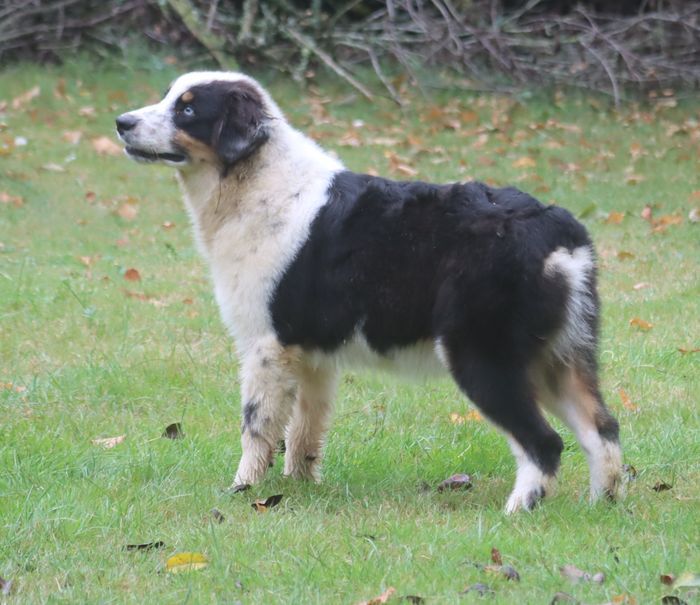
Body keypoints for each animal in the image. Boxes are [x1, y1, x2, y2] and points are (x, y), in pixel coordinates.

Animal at [116, 71, 622, 513]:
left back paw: (519, 510)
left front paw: (244, 490)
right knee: (603, 429)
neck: (252, 179)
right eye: (167, 96)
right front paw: (300, 487)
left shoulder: (266, 346)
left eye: (188, 109)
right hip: (559, 358)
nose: (122, 122)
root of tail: (558, 230)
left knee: (544, 442)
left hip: (484, 358)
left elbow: (257, 427)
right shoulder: (311, 355)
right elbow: (305, 431)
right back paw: (603, 506)